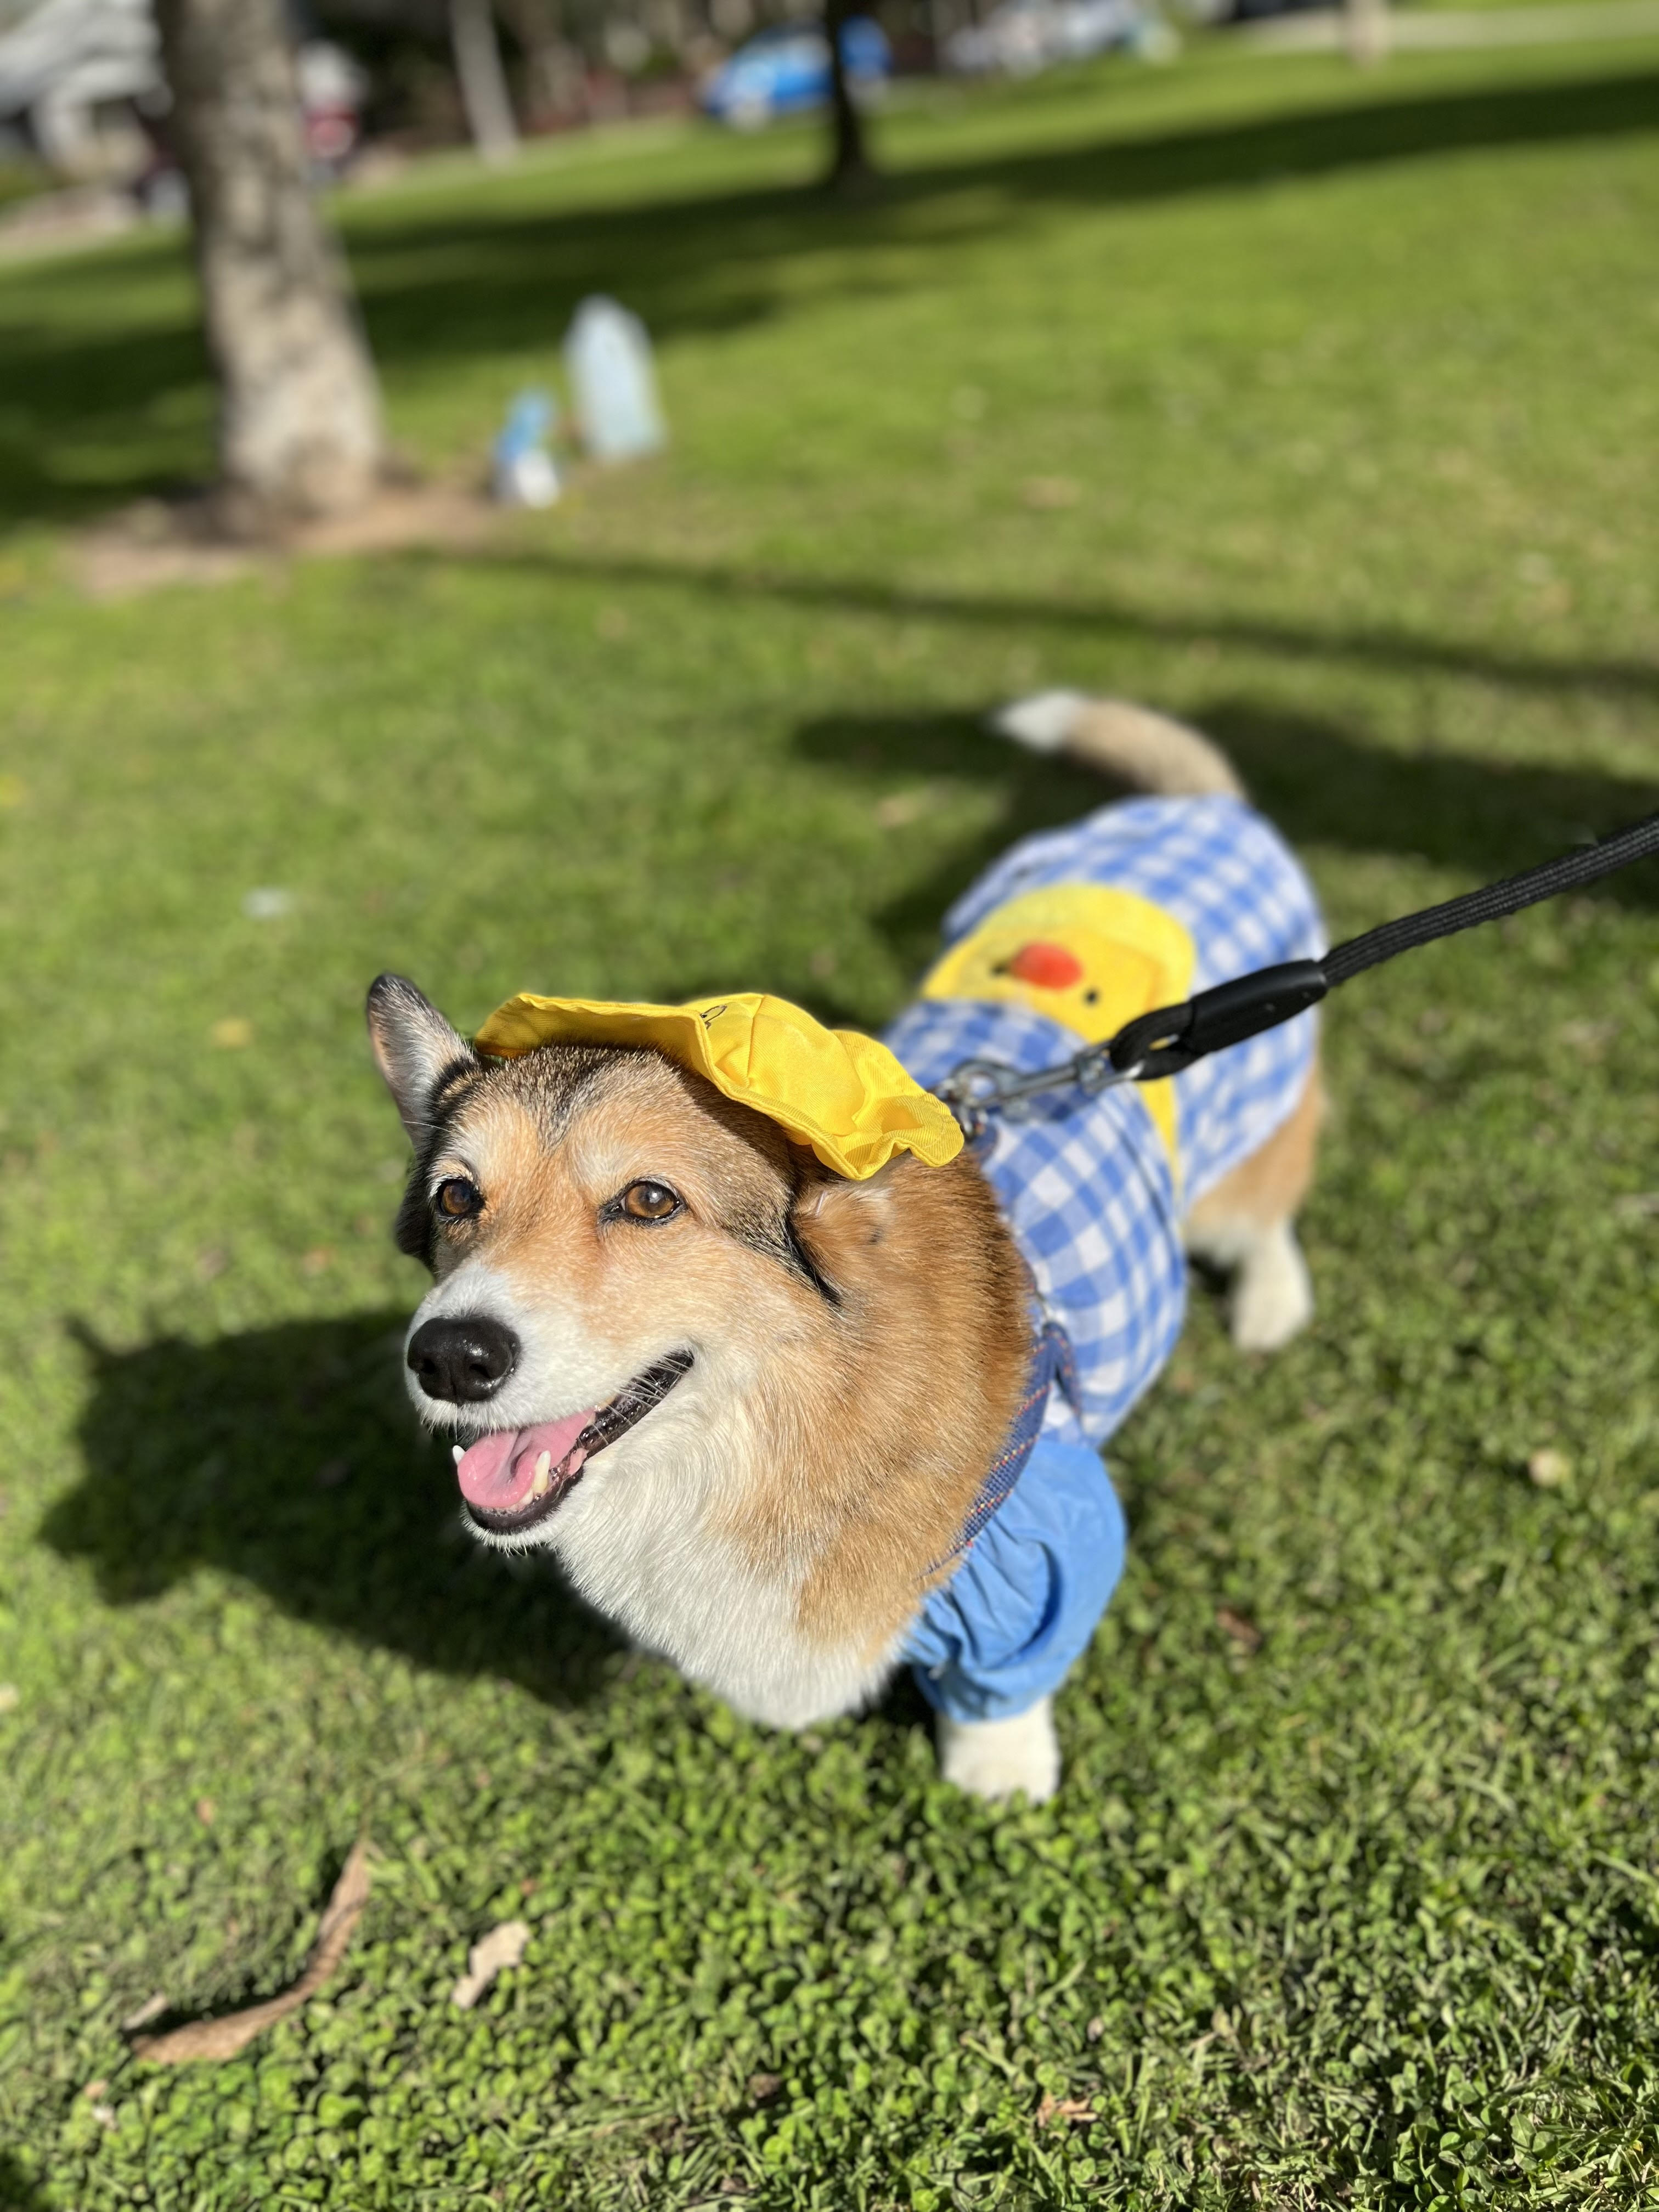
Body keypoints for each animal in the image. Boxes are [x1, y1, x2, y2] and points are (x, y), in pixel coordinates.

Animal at [367, 699, 1327, 1805]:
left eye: (649, 1201)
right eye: (456, 1197)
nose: (448, 1358)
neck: (798, 1413)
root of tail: (1199, 810)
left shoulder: (1040, 1547)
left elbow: (1009, 1679)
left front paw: (999, 1773)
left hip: (1243, 1163)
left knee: (1267, 1212)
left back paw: (1270, 1303)